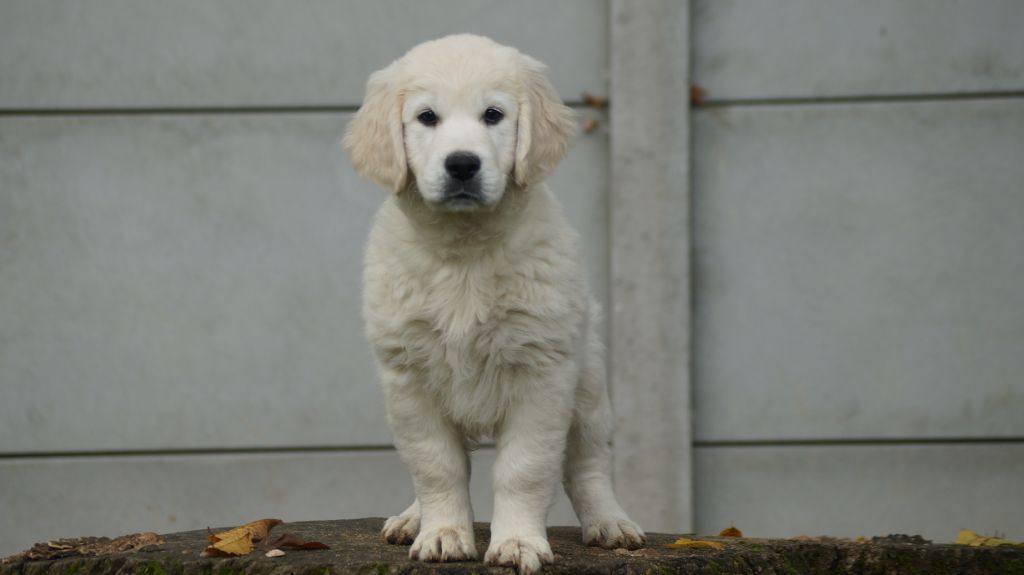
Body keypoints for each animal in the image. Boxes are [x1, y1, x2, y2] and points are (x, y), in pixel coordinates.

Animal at [348, 33, 643, 568]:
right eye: (427, 117)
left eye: (493, 115)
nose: (463, 163)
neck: (466, 251)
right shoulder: (409, 377)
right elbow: (435, 465)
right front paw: (443, 533)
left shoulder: (542, 372)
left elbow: (524, 469)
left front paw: (518, 542)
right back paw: (412, 516)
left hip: (588, 384)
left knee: (588, 462)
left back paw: (610, 522)